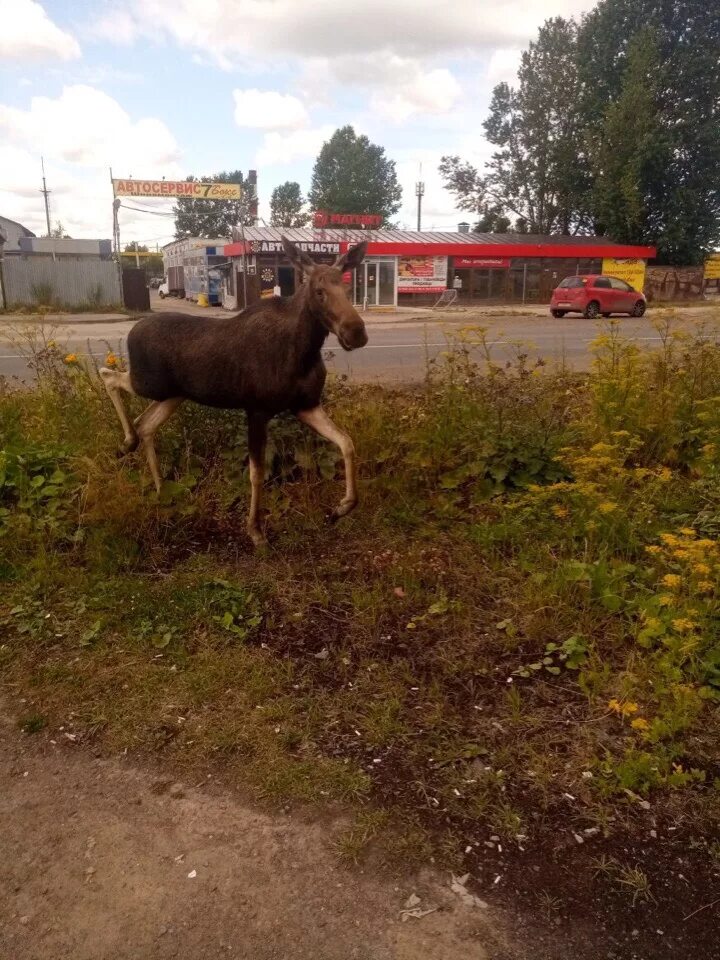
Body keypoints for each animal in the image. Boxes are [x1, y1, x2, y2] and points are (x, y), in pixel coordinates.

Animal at [100, 236, 368, 544]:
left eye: (348, 288)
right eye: (319, 291)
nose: (356, 332)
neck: (304, 351)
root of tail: (133, 329)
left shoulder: (306, 405)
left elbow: (347, 443)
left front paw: (341, 507)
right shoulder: (257, 409)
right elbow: (256, 472)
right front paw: (255, 530)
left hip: (173, 394)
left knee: (145, 424)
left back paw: (159, 488)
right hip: (148, 382)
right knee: (108, 376)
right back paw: (127, 443)